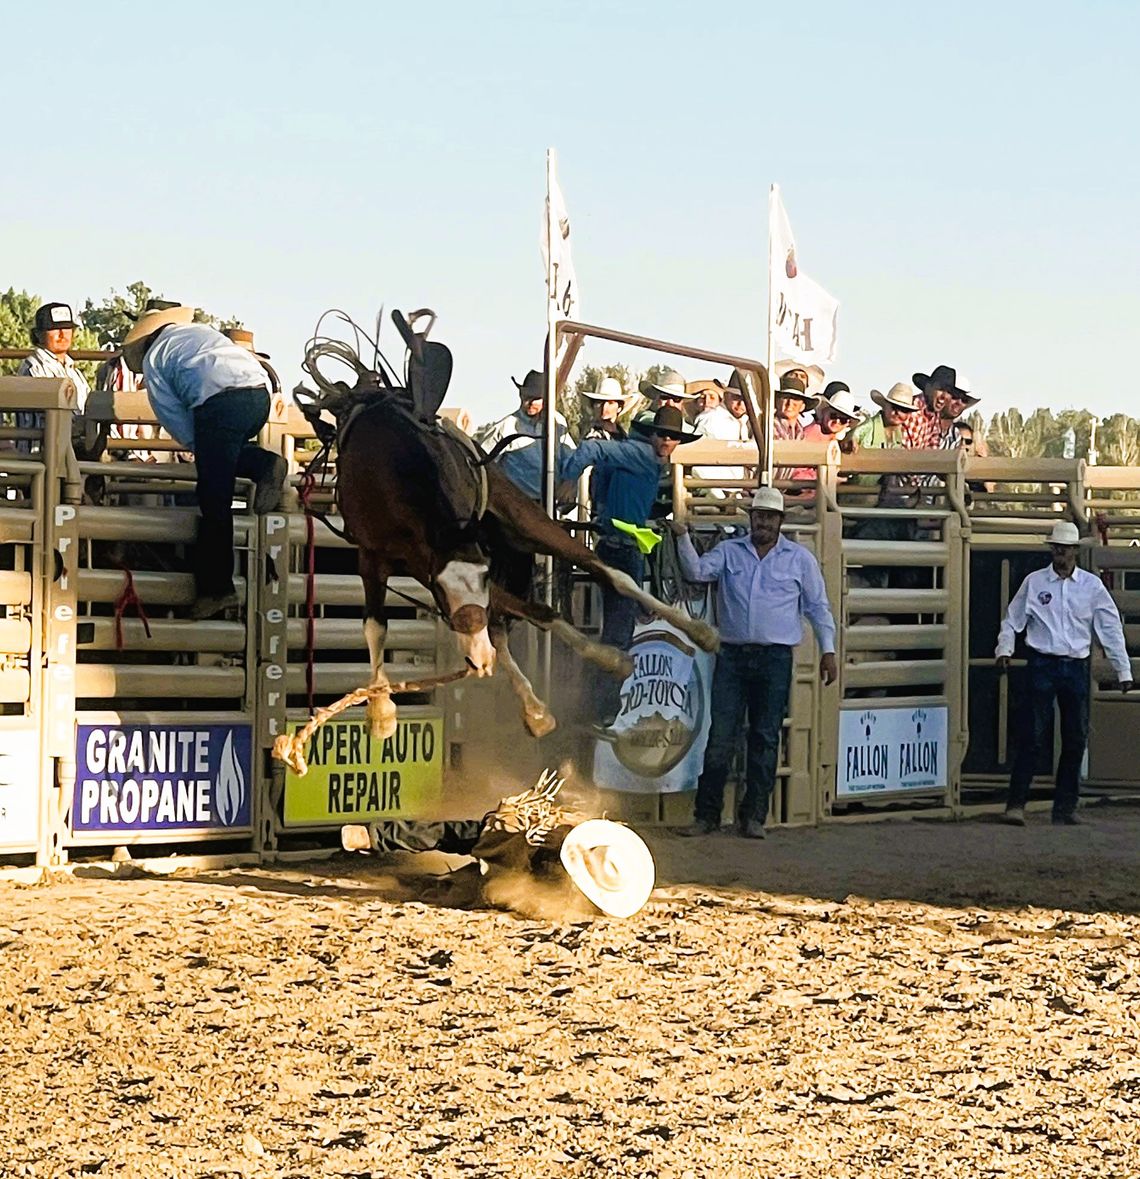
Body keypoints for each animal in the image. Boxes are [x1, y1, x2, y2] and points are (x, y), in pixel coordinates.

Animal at [298, 311, 716, 735]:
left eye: (482, 577)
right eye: (440, 588)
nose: (477, 661)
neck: (390, 463)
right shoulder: (389, 557)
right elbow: (375, 625)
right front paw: (382, 711)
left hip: (517, 517)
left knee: (607, 576)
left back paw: (694, 634)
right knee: (511, 621)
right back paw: (540, 704)